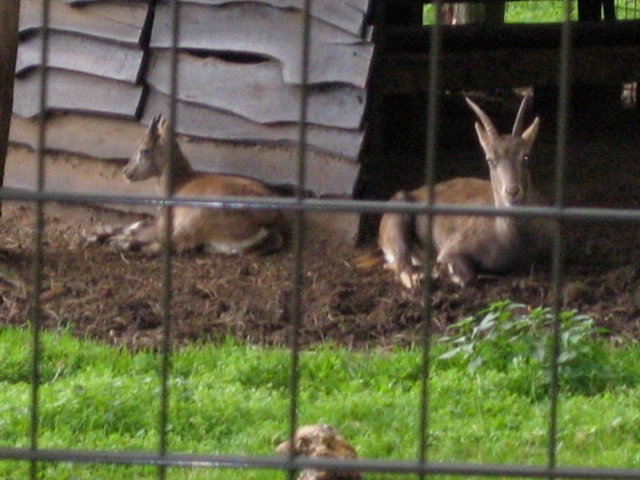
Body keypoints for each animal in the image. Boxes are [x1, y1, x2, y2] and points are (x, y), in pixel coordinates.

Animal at [98, 115, 284, 255]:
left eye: (144, 150)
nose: (126, 172)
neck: (179, 182)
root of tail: (269, 220)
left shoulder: (165, 223)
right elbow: (136, 225)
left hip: (195, 220)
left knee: (171, 244)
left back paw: (119, 244)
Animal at [364, 94, 556, 288]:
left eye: (526, 157)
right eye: (490, 160)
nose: (512, 192)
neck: (511, 238)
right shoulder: (453, 248)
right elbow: (467, 275)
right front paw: (441, 271)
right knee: (403, 266)